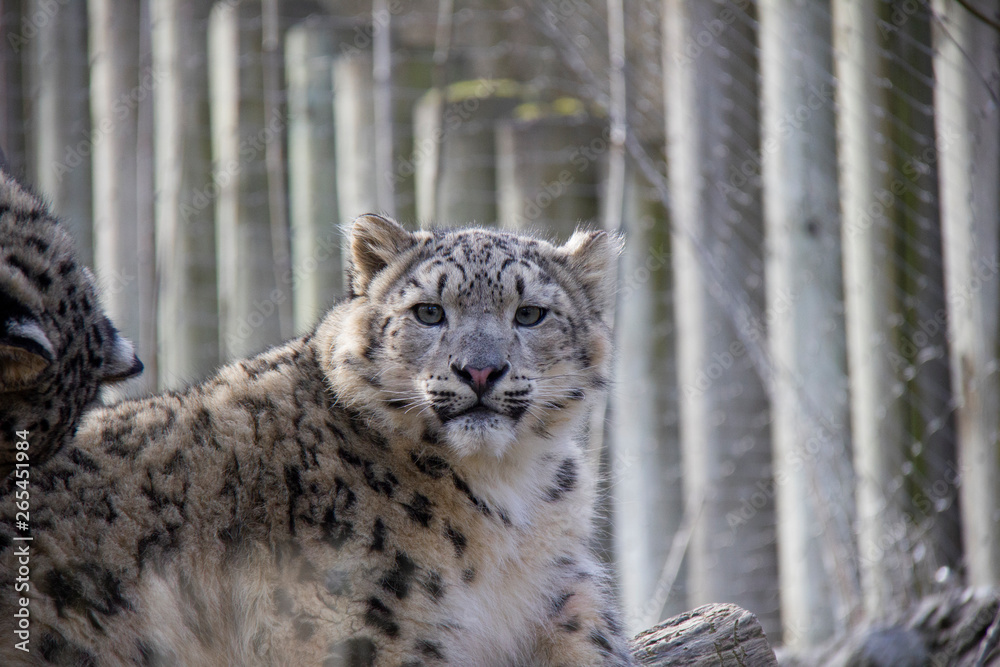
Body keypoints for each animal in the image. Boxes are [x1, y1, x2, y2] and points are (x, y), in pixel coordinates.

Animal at [0, 206, 636, 666]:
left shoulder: (564, 594)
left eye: (530, 314)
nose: (480, 371)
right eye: (429, 312)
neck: (506, 497)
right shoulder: (363, 631)